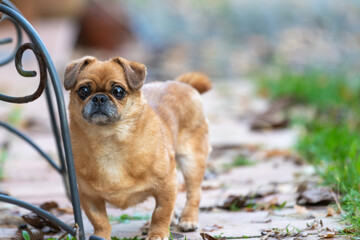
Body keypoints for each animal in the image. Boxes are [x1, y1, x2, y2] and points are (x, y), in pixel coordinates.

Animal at [64, 56, 211, 240]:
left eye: (118, 91)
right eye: (83, 90)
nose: (98, 98)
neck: (108, 140)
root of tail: (182, 84)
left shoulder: (166, 185)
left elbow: (160, 213)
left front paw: (157, 234)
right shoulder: (89, 197)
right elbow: (100, 221)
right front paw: (101, 236)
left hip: (192, 161)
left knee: (194, 193)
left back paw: (188, 220)